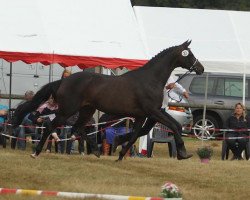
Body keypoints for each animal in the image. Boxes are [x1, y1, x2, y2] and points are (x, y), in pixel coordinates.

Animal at [14, 40, 203, 161]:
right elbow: (173, 127)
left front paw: (120, 153)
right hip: (67, 110)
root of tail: (63, 81)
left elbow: (135, 135)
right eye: (189, 54)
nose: (200, 68)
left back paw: (96, 151)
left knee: (78, 127)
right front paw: (183, 153)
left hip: (87, 109)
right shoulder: (153, 112)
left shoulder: (143, 115)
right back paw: (36, 153)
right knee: (51, 126)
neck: (150, 79)